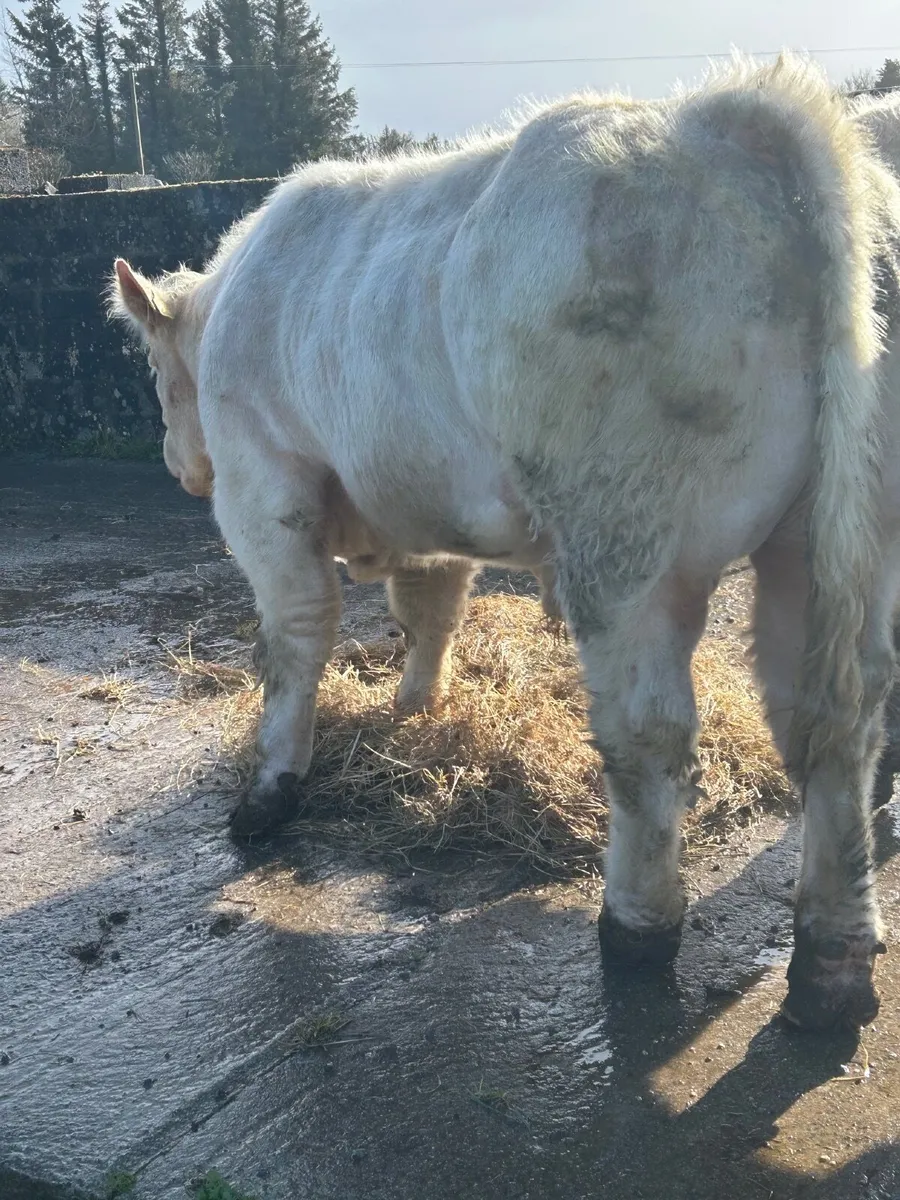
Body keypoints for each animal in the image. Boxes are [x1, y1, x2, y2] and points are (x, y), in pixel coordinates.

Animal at [110, 53, 900, 1032]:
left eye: (156, 371)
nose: (180, 466)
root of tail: (727, 119)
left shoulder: (267, 486)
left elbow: (294, 640)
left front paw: (269, 790)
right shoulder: (421, 505)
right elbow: (430, 608)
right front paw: (414, 709)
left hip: (627, 540)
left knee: (650, 733)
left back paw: (636, 928)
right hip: (832, 543)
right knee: (833, 718)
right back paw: (832, 965)